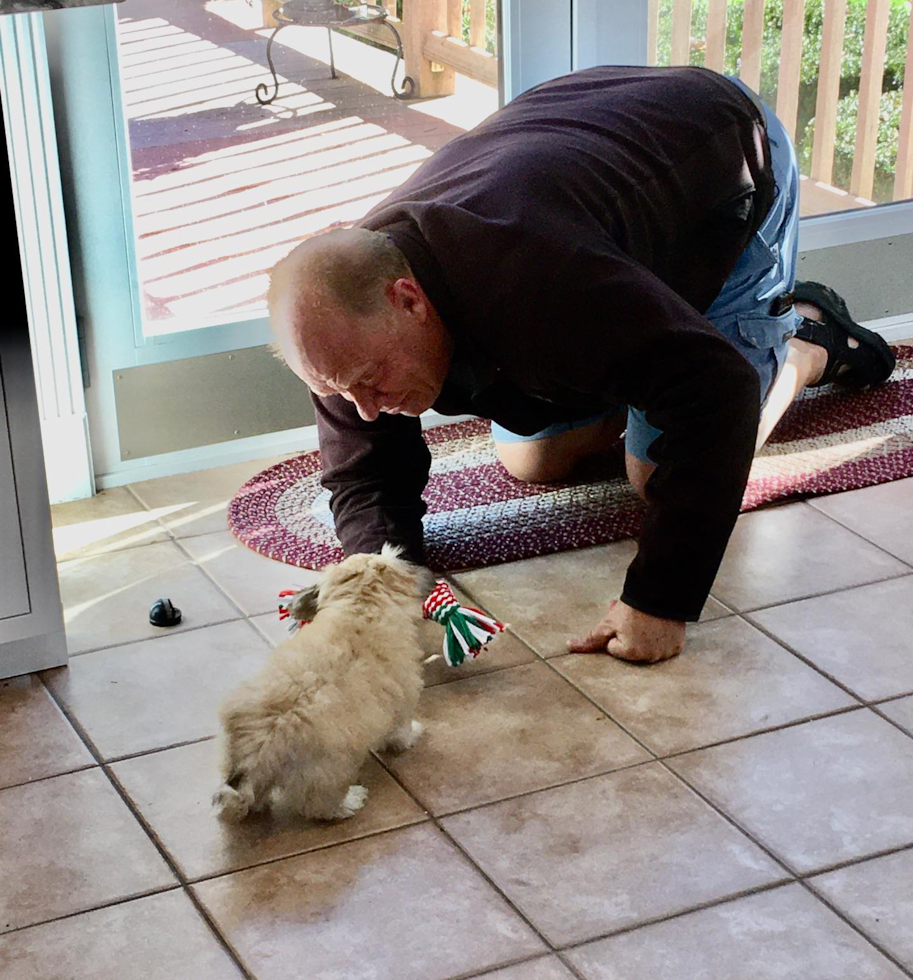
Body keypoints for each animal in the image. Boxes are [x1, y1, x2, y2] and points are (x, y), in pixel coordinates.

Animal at [212, 548, 430, 824]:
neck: (361, 606)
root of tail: (262, 741)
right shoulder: (404, 695)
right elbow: (401, 731)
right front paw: (413, 734)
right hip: (329, 771)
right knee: (319, 805)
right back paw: (350, 802)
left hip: (234, 758)